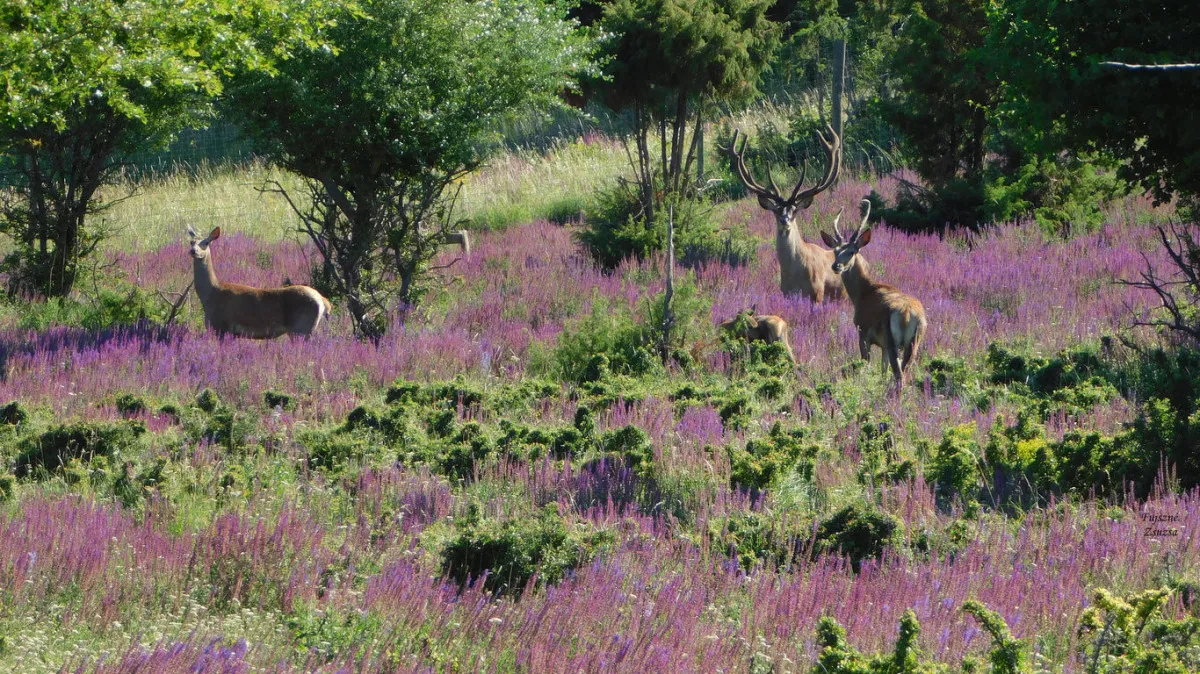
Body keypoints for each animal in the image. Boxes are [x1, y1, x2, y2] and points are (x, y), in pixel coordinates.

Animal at [189, 225, 336, 338]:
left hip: (301, 328)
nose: (193, 251)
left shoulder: (221, 326)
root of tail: (323, 301)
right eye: (191, 242)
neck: (211, 294)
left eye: (206, 242)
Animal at [715, 125, 859, 302]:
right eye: (776, 211)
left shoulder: (818, 293)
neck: (794, 275)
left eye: (794, 211)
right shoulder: (785, 293)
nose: (785, 220)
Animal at [816, 199, 926, 381]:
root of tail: (908, 314)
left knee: (899, 375)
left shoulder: (863, 332)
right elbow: (883, 371)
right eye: (835, 251)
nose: (836, 266)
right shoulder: (882, 346)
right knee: (904, 372)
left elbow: (865, 364)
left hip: (892, 339)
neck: (862, 294)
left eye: (852, 251)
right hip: (913, 342)